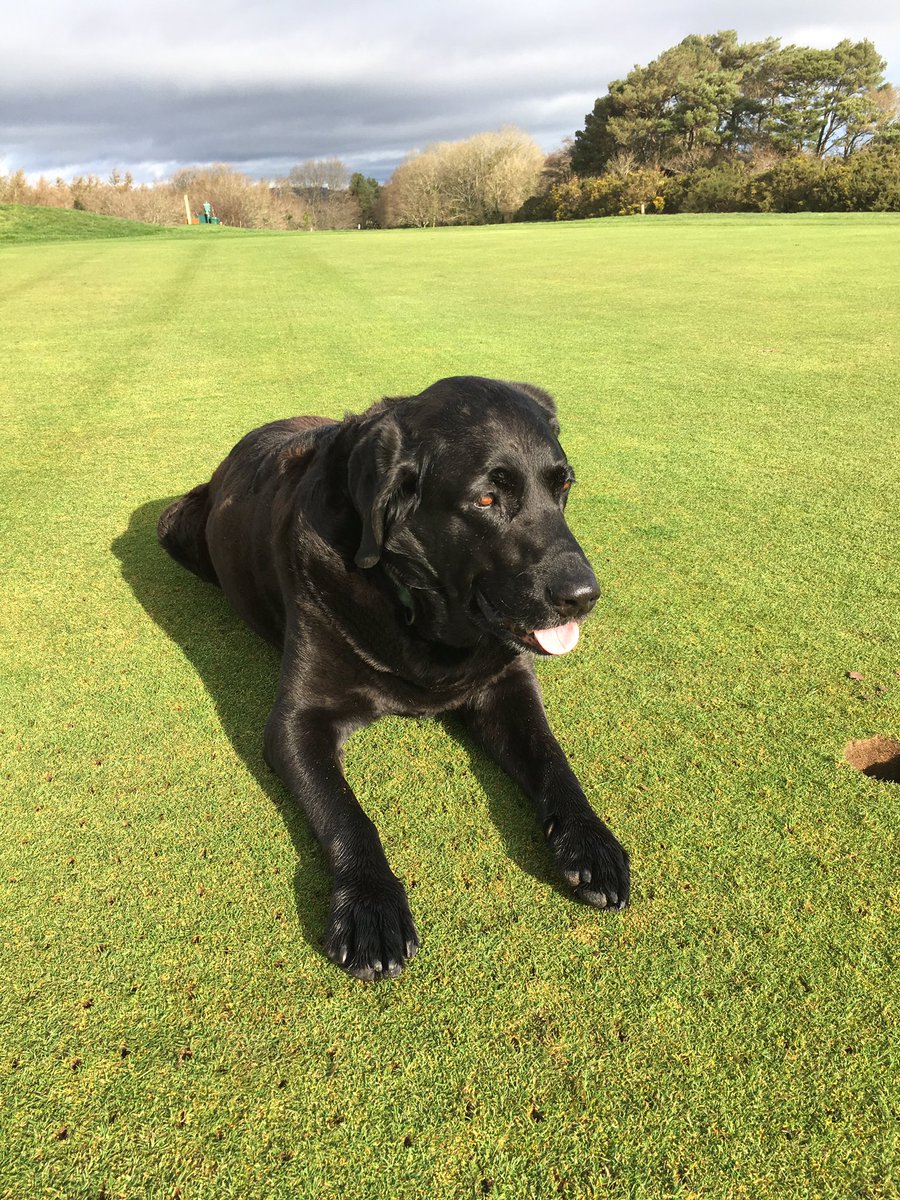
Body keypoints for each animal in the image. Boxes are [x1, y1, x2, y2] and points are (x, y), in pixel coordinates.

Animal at [158, 374, 628, 974]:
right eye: (486, 498)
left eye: (563, 486)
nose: (584, 596)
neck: (415, 608)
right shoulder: (297, 722)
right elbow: (347, 813)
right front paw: (369, 906)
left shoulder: (507, 686)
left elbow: (551, 757)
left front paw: (591, 842)